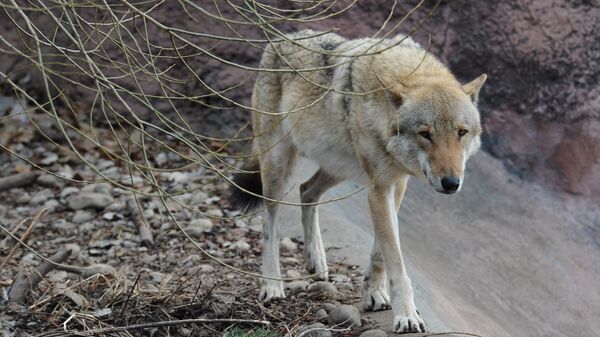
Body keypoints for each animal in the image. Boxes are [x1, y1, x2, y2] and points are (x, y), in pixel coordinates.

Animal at [230, 29, 488, 334]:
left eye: (461, 132)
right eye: (425, 134)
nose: (451, 183)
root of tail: (282, 38)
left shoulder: (396, 184)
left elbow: (380, 253)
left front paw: (375, 293)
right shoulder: (379, 187)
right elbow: (395, 260)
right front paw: (406, 315)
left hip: (337, 167)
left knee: (307, 191)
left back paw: (317, 260)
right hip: (278, 166)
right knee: (269, 223)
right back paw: (272, 284)